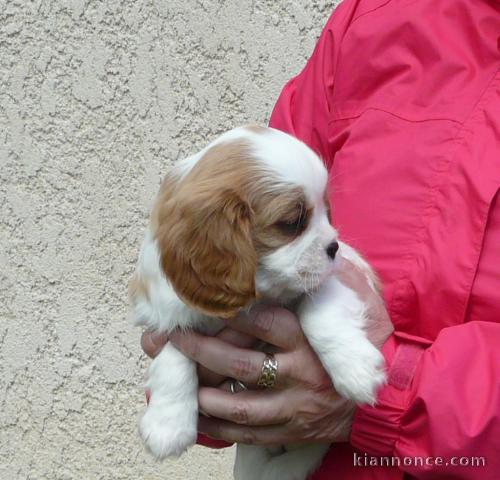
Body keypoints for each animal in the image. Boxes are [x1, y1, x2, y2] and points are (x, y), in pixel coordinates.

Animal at [130, 125, 386, 480]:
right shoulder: (162, 309)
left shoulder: (333, 280)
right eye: (292, 223)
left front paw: (356, 370)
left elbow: (319, 315)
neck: (258, 295)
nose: (333, 247)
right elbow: (174, 349)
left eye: (327, 212)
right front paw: (168, 424)